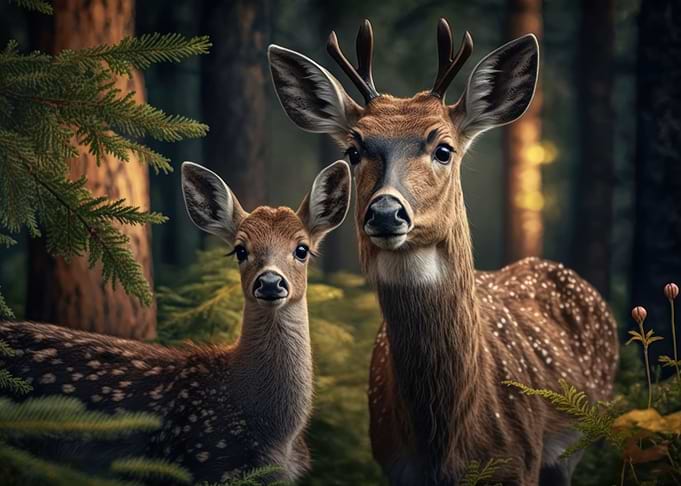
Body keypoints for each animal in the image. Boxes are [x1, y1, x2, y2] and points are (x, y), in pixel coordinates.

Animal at [268, 18, 619, 486]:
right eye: (353, 149)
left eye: (443, 149)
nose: (385, 212)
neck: (447, 443)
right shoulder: (393, 465)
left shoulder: (519, 463)